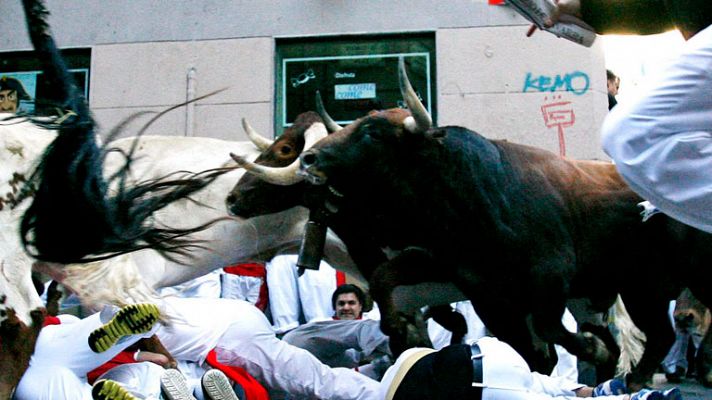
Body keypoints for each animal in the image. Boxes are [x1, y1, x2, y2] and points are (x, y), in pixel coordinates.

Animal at [227, 71, 712, 390]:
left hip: (666, 281)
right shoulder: (480, 290)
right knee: (656, 336)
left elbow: (546, 339)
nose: (233, 198)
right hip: (633, 288)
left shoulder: (544, 281)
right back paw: (628, 380)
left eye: (370, 132)